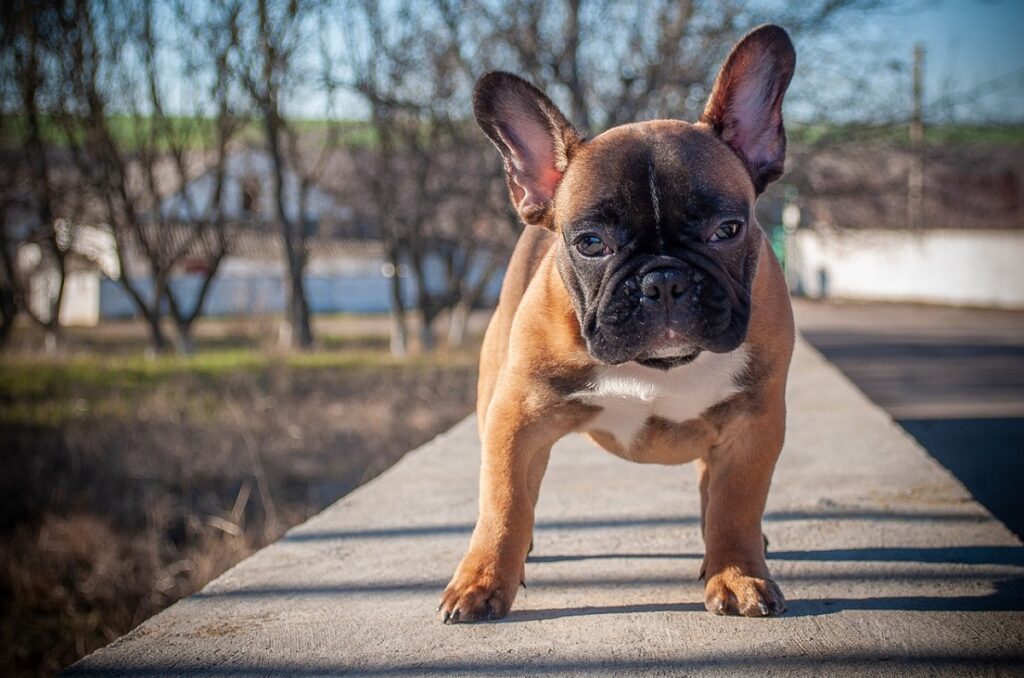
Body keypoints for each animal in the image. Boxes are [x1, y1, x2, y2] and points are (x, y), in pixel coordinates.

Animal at [440, 25, 798, 622]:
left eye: (727, 229)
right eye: (591, 243)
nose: (663, 281)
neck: (660, 366)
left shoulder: (755, 421)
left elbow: (736, 505)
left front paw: (737, 573)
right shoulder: (516, 419)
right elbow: (505, 504)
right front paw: (482, 580)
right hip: (492, 387)